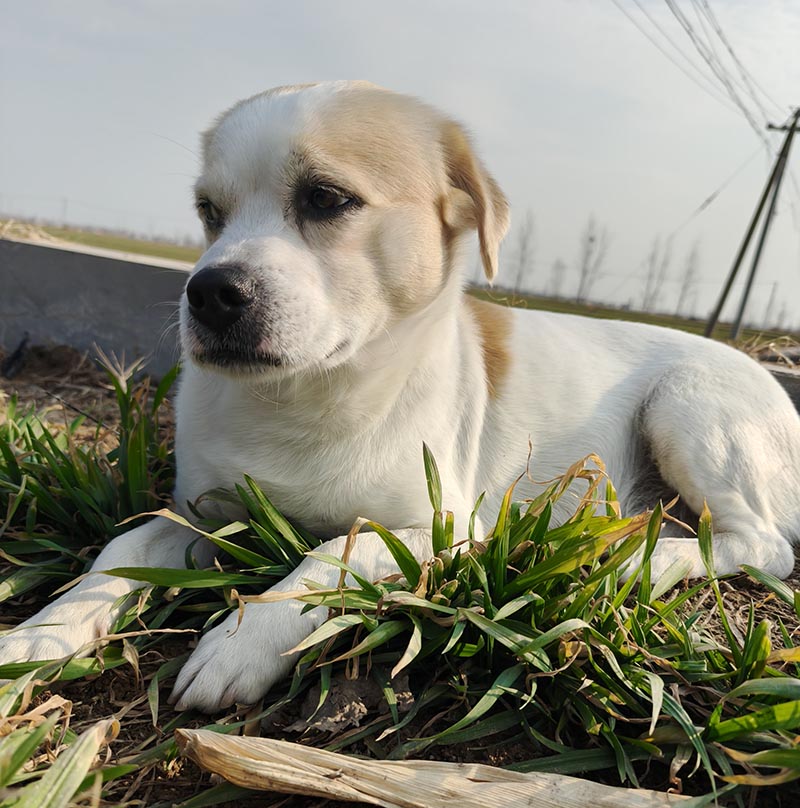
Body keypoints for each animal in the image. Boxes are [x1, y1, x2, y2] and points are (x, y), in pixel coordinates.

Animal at [1, 83, 800, 712]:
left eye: (326, 198)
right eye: (208, 211)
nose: (206, 293)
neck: (313, 396)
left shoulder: (442, 533)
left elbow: (331, 552)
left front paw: (240, 641)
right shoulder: (204, 512)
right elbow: (122, 548)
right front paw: (45, 630)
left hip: (690, 409)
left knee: (760, 544)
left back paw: (640, 560)